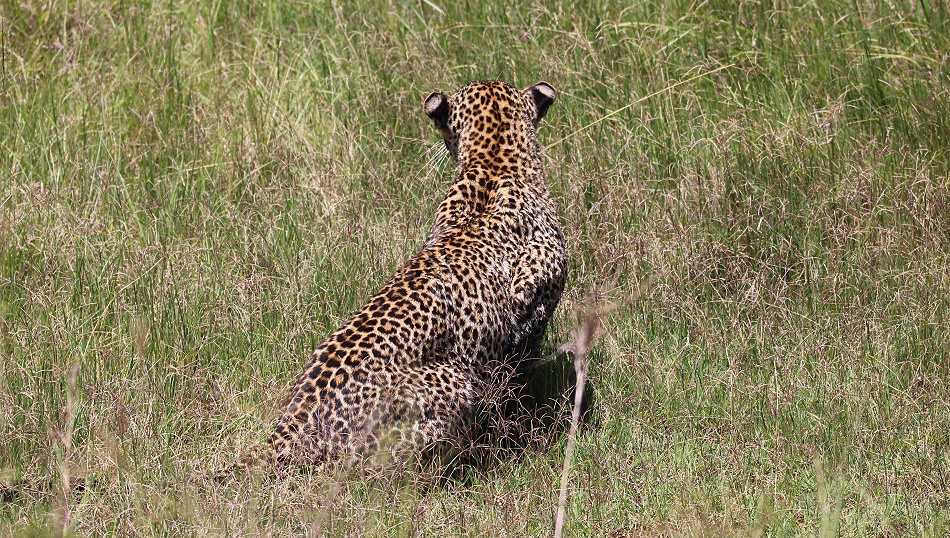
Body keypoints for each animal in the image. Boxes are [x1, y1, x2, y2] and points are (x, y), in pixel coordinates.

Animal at [216, 80, 566, 480]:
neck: (494, 160)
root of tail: (288, 428)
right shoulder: (530, 316)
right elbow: (519, 389)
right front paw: (528, 435)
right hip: (450, 385)